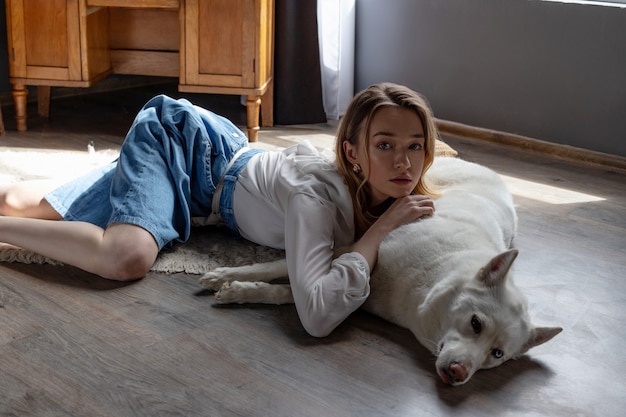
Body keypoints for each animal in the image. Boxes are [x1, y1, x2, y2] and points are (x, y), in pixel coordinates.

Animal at [199, 157, 560, 386]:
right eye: (475, 324)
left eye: (497, 354)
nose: (459, 373)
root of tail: (491, 171)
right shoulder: (348, 251)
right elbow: (275, 268)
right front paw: (226, 277)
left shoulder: (348, 291)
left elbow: (292, 295)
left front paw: (241, 289)